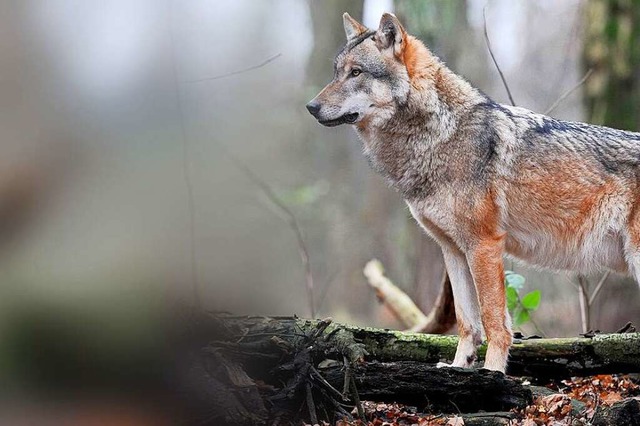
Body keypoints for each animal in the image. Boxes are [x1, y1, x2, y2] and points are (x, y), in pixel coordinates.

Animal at [304, 12, 640, 372]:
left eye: (356, 72)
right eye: (336, 72)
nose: (311, 106)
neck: (440, 136)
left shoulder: (484, 244)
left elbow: (494, 322)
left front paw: (492, 372)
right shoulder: (453, 250)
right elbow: (468, 323)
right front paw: (457, 368)